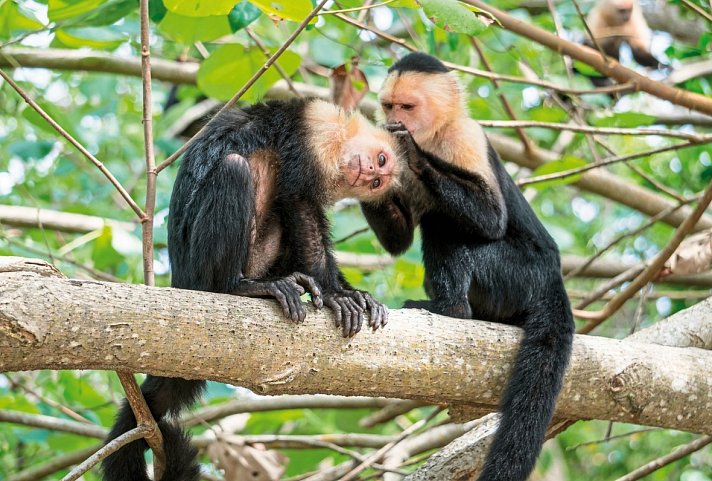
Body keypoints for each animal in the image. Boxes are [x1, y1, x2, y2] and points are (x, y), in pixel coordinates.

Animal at [103, 97, 408, 480]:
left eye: (378, 180)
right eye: (381, 161)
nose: (367, 173)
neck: (340, 139)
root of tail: (182, 282)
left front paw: (352, 293)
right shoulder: (316, 132)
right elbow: (297, 200)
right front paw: (337, 295)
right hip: (199, 272)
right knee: (234, 170)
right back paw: (239, 288)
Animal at [362, 51, 580, 480]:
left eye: (406, 107)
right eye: (388, 105)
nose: (393, 120)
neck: (434, 135)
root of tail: (553, 279)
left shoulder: (466, 137)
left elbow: (491, 218)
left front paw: (412, 151)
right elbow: (398, 239)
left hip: (520, 275)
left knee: (445, 224)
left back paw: (451, 309)